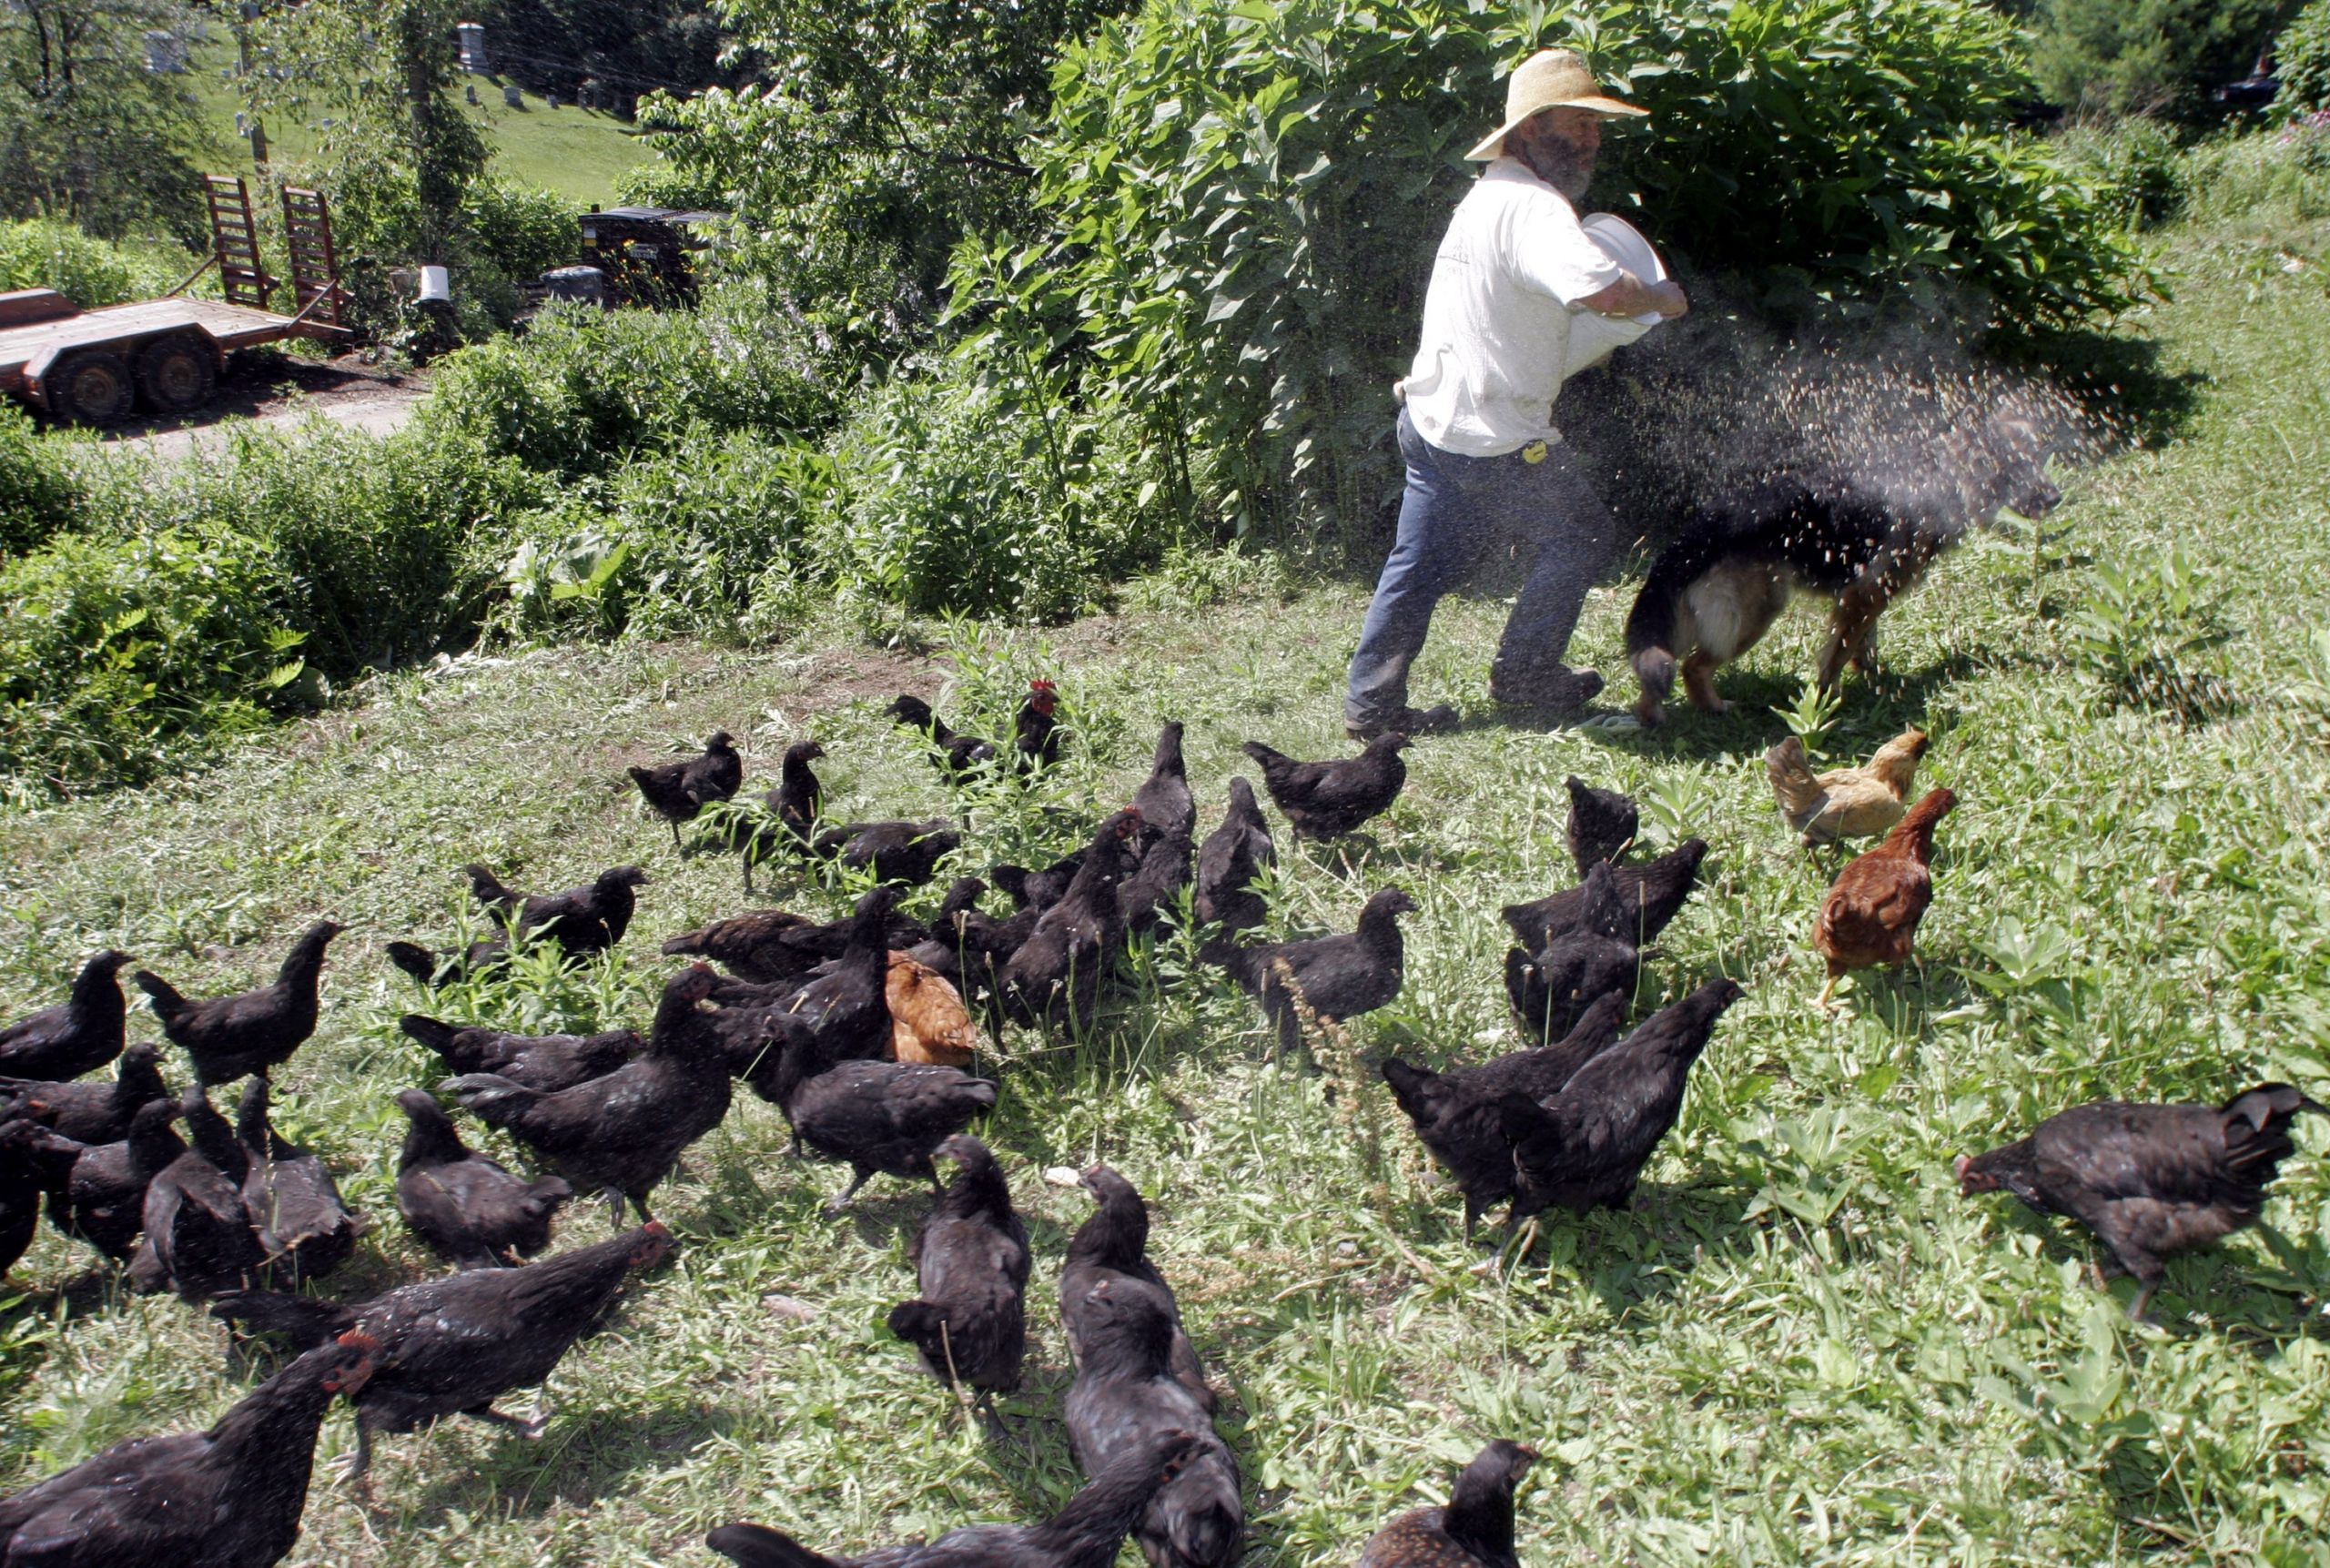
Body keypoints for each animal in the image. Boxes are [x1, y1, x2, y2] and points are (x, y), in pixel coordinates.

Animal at [1621, 412, 2060, 726]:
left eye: (2039, 459)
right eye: (2016, 466)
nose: (2057, 498)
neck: (1942, 478)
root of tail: (1703, 529)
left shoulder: (1868, 595)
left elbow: (1865, 645)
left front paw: (1875, 680)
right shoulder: (1864, 594)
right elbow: (1837, 654)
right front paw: (1826, 701)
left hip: (1691, 614)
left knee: (1658, 671)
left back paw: (1653, 717)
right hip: (1754, 612)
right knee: (1693, 666)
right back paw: (1713, 708)